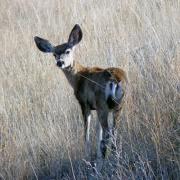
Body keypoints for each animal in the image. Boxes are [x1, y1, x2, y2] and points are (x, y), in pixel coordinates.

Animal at [33, 23, 126, 160]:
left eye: (68, 51)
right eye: (54, 54)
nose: (60, 62)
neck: (79, 76)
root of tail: (114, 80)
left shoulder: (84, 103)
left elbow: (86, 134)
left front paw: (87, 156)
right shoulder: (95, 107)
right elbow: (98, 132)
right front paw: (97, 156)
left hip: (103, 105)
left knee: (108, 133)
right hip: (119, 105)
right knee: (114, 131)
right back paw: (114, 157)